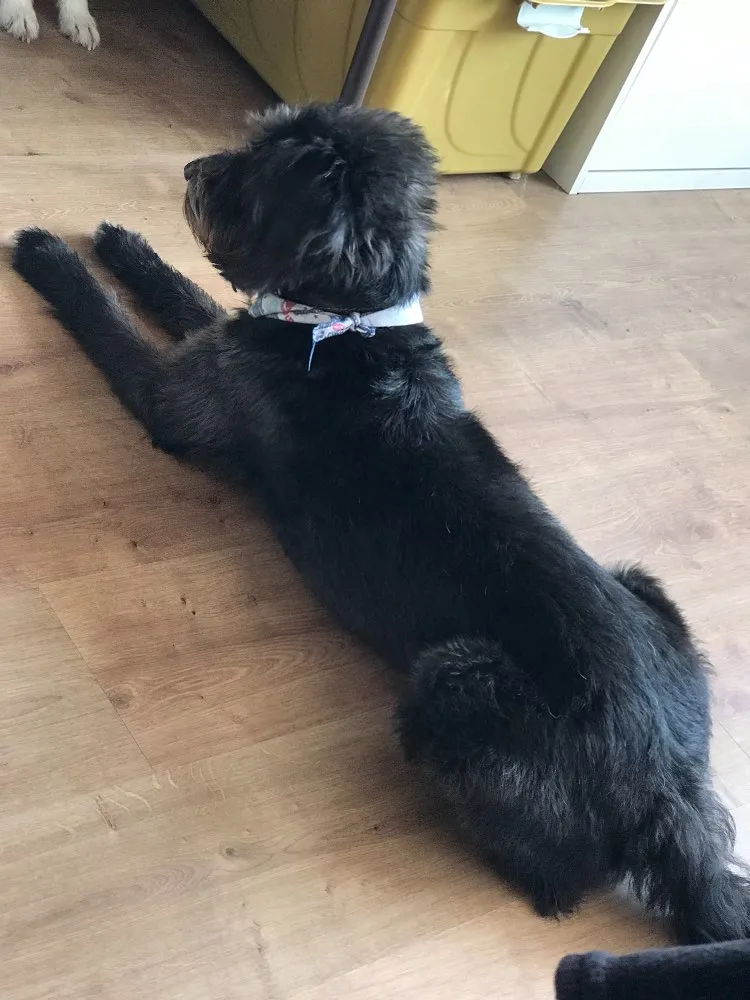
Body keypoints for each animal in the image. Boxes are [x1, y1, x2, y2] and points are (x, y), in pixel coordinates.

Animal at [11, 102, 750, 944]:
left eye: (258, 177)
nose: (195, 171)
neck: (351, 324)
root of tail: (671, 793)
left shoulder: (173, 397)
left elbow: (107, 322)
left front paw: (47, 254)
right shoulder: (229, 336)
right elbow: (181, 291)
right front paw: (121, 242)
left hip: (455, 683)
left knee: (555, 883)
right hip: (642, 583)